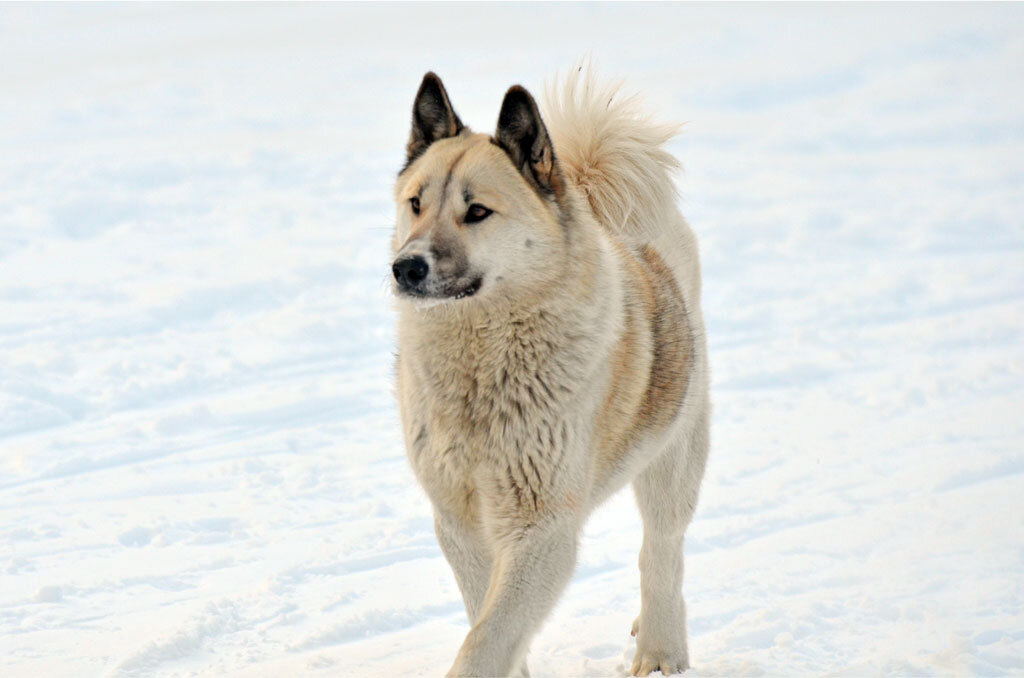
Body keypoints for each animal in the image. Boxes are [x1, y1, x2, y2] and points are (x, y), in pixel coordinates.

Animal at [387, 70, 708, 678]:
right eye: (415, 203)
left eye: (477, 212)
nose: (405, 267)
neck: (480, 368)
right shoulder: (459, 523)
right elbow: (487, 624)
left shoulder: (541, 529)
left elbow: (485, 641)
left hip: (673, 453)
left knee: (661, 551)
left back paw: (660, 651)